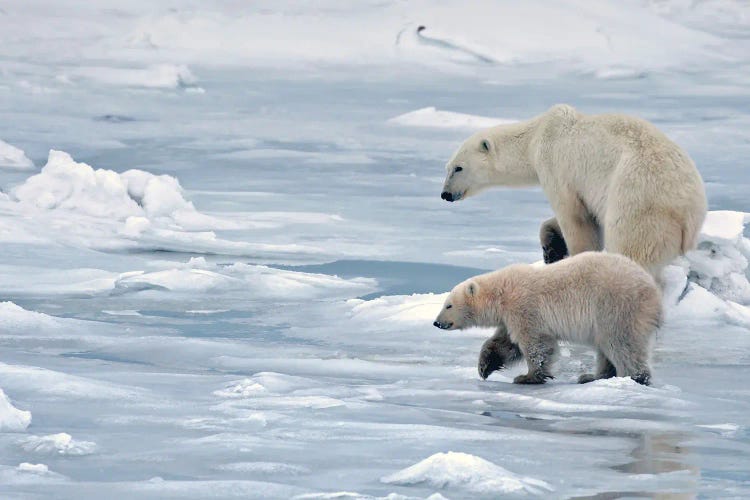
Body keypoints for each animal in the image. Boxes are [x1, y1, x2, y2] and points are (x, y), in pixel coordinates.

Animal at [438, 104, 708, 278]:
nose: (445, 195)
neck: (536, 136)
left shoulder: (557, 167)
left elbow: (575, 217)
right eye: (447, 167)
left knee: (632, 247)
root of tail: (686, 206)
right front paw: (551, 248)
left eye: (458, 168)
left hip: (638, 202)